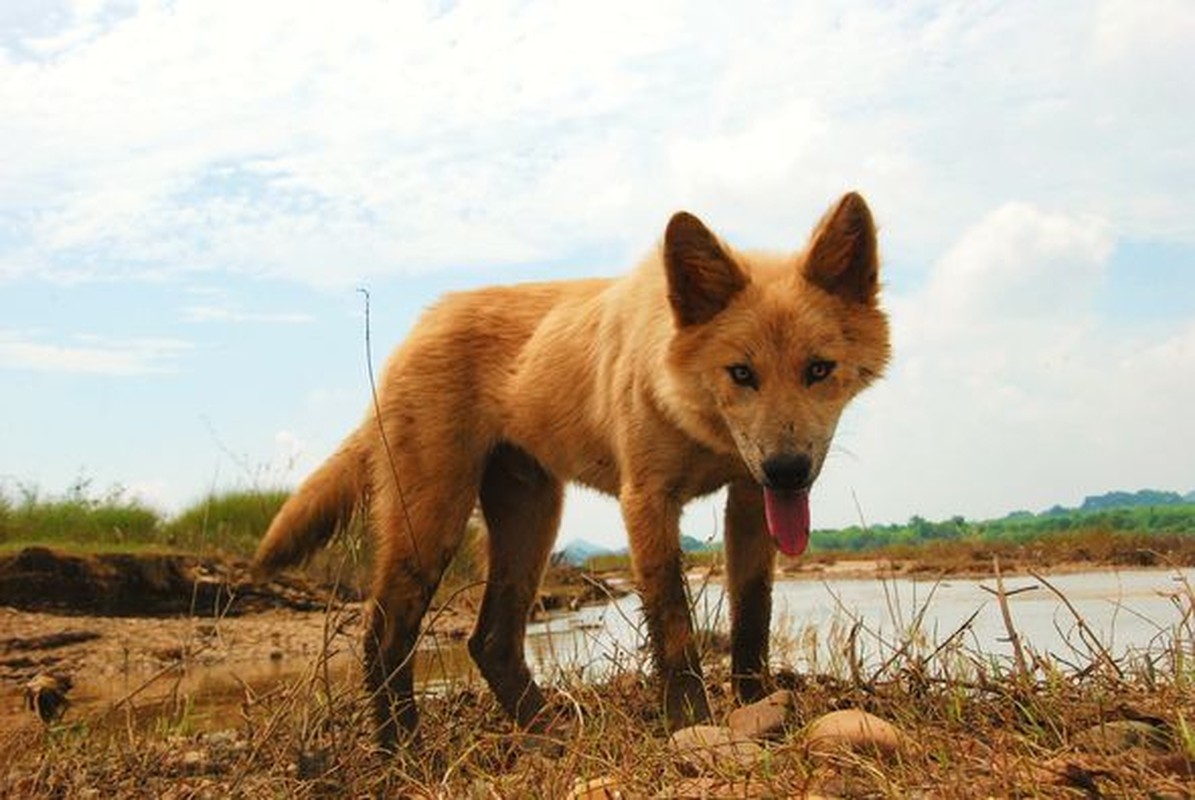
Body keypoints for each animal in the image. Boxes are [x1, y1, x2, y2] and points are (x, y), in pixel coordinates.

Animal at [254, 193, 889, 750]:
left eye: (818, 369)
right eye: (741, 373)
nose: (788, 471)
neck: (689, 410)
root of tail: (417, 331)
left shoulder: (750, 499)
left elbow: (752, 621)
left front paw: (756, 708)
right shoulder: (647, 501)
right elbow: (675, 629)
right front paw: (689, 723)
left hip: (531, 520)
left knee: (491, 643)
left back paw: (547, 734)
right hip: (433, 520)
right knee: (385, 639)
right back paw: (402, 753)